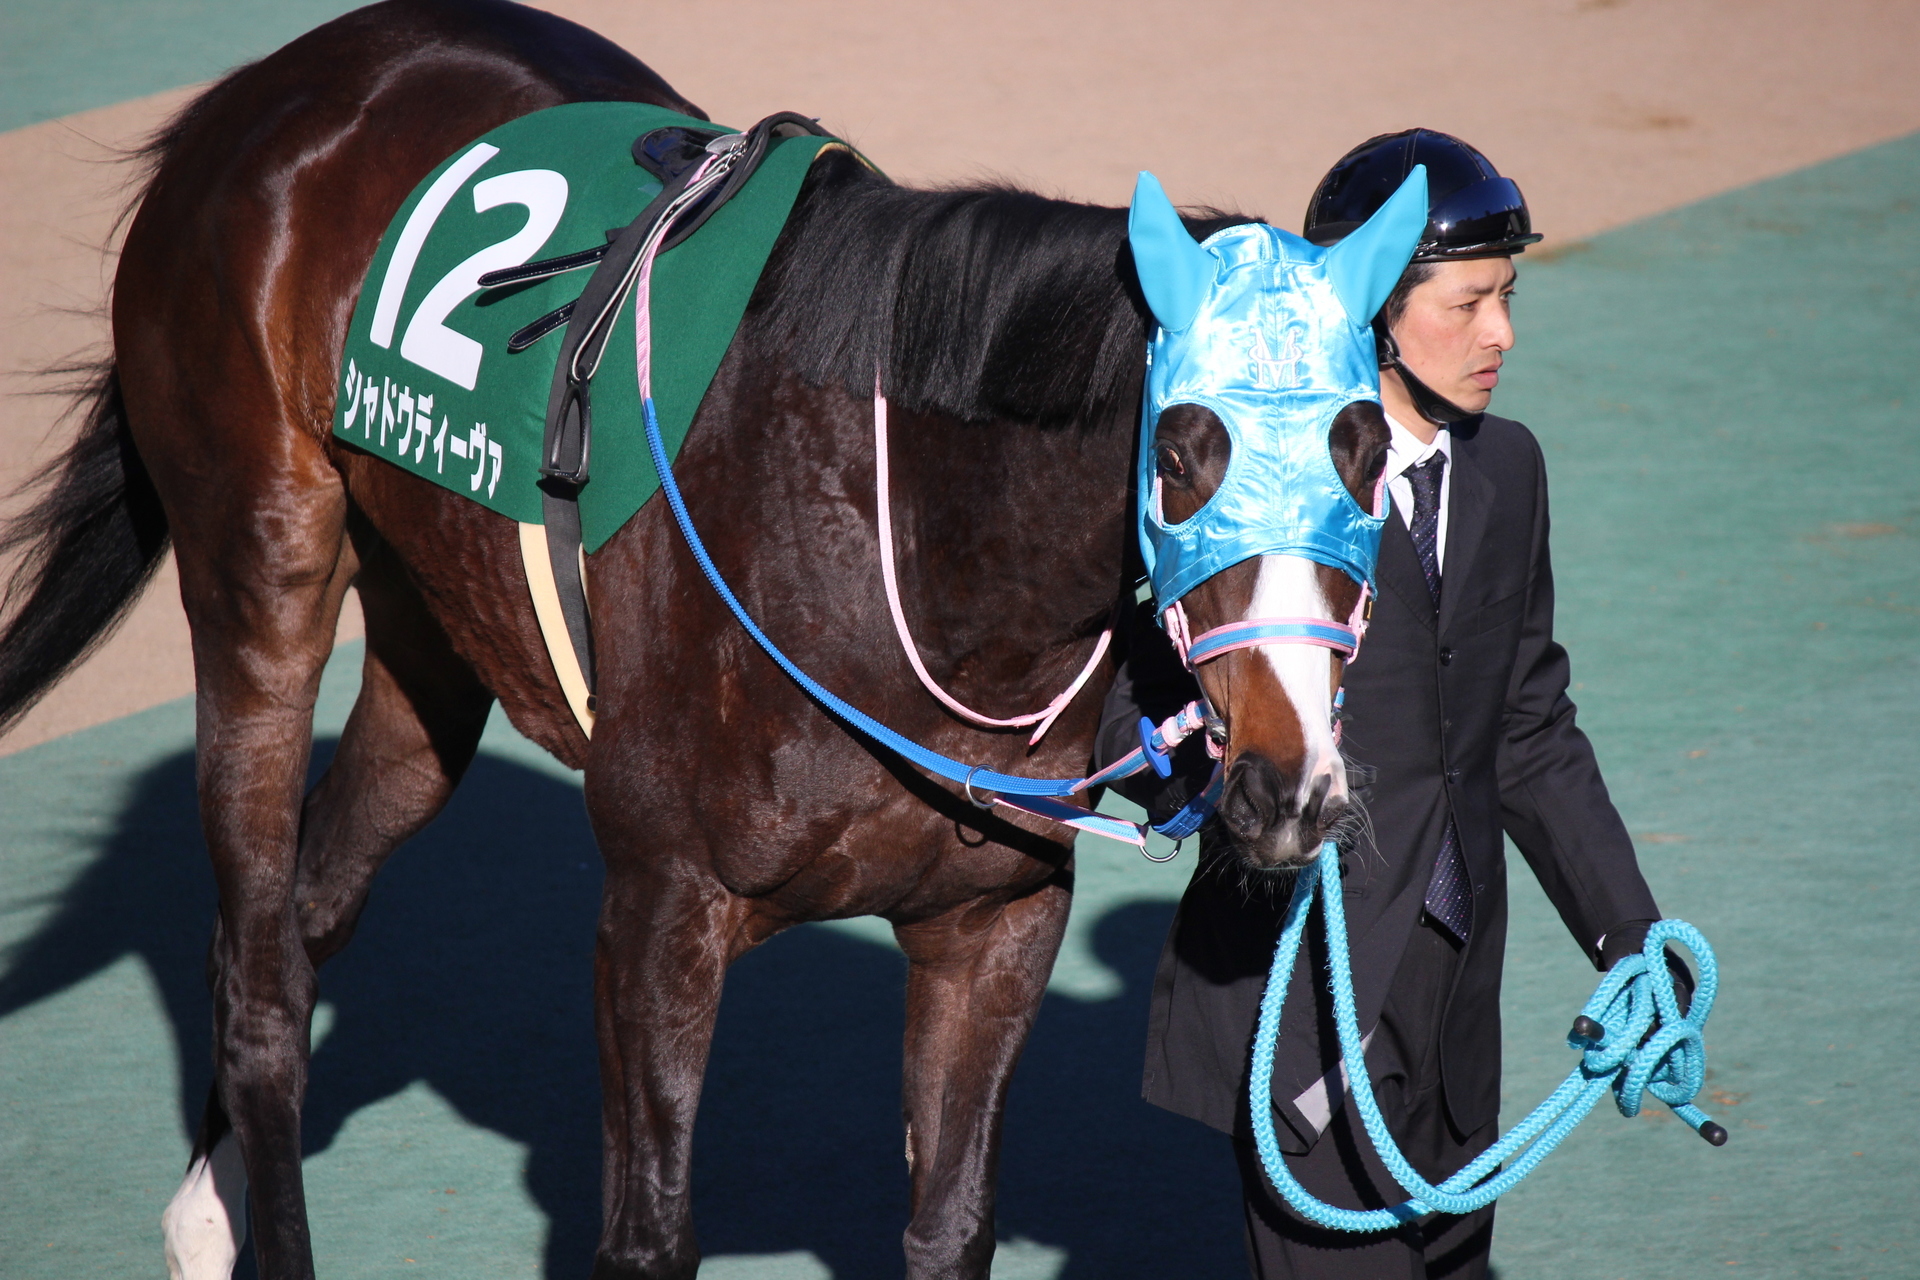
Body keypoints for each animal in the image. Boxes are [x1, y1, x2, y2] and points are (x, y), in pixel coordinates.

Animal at [0, 5, 1382, 1274]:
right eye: (1188, 450)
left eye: (1370, 449)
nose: (1293, 786)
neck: (892, 539)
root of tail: (262, 91)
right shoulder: (663, 907)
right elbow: (650, 1232)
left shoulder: (991, 918)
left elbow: (948, 1225)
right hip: (261, 569)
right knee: (258, 982)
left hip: (430, 633)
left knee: (310, 903)